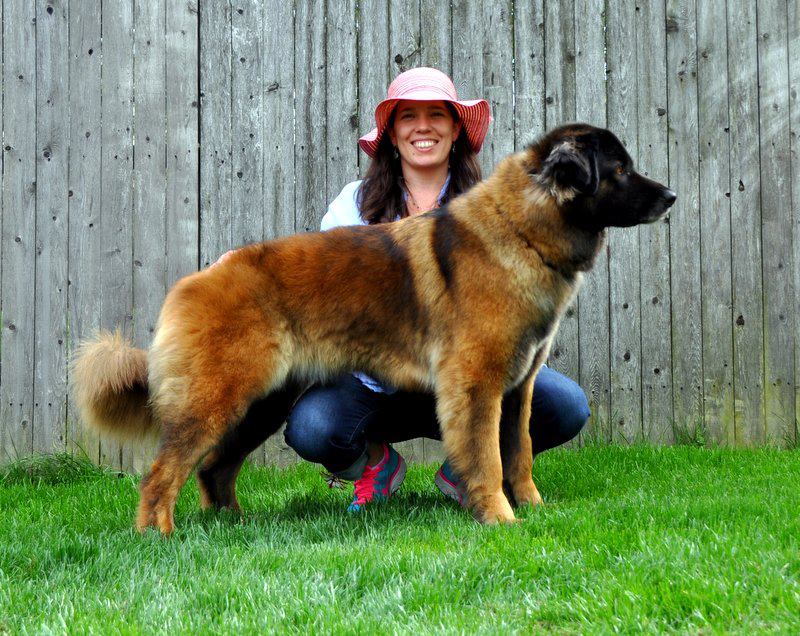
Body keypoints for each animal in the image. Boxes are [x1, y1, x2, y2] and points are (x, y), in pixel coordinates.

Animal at [73, 124, 676, 532]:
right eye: (619, 169)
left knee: (214, 469)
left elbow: (519, 452)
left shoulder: (518, 388)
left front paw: (532, 508)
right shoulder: (476, 386)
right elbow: (486, 458)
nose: (670, 196)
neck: (523, 226)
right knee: (162, 473)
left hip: (259, 405)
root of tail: (197, 280)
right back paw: (160, 536)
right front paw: (500, 519)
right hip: (218, 400)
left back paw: (234, 526)